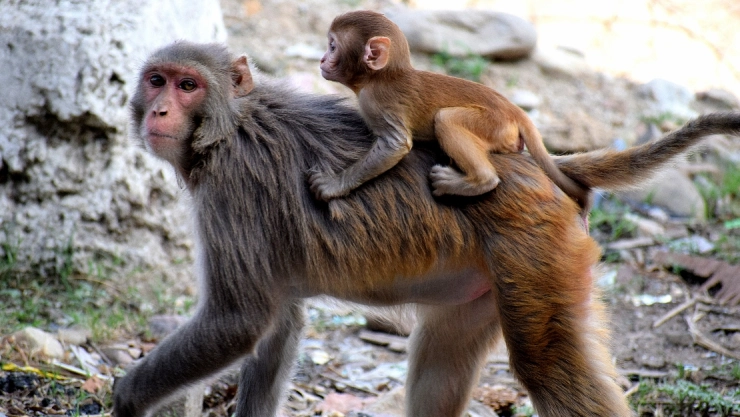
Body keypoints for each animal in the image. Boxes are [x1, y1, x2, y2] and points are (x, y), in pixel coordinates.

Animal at [113, 40, 740, 417]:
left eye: (188, 86)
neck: (227, 128)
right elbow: (278, 323)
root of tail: (536, 165)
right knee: (442, 359)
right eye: (157, 80)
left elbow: (239, 321)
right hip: (495, 278)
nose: (159, 112)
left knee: (546, 365)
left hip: (539, 250)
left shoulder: (232, 191)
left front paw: (127, 397)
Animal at [308, 10, 589, 211]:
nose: (322, 59)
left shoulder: (377, 101)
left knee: (447, 118)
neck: (380, 77)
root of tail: (513, 110)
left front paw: (333, 185)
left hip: (493, 124)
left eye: (332, 46)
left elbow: (395, 145)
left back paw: (477, 181)